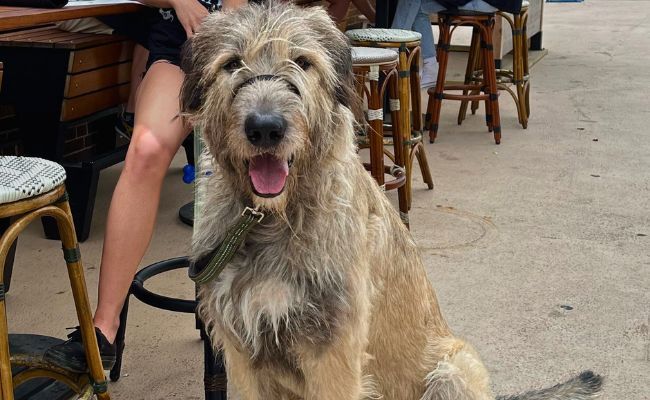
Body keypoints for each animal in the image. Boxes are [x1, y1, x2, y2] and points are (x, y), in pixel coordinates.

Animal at [178, 1, 604, 398]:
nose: (265, 128)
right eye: (232, 63)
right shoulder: (242, 354)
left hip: (452, 371)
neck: (270, 219)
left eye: (302, 61)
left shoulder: (334, 354)